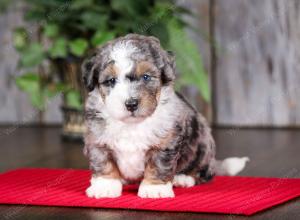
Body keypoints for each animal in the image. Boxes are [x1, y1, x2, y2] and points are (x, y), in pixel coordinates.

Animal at [82, 33, 248, 199]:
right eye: (111, 80)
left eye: (146, 77)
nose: (131, 104)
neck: (132, 124)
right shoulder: (97, 139)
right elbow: (104, 162)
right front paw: (105, 186)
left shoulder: (165, 142)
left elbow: (158, 165)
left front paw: (154, 188)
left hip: (204, 145)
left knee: (204, 172)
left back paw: (183, 178)